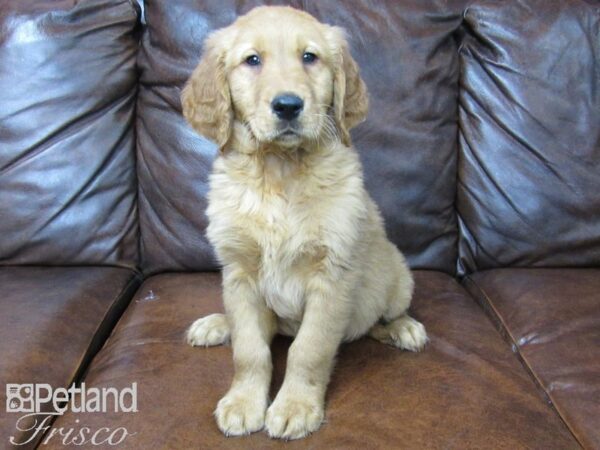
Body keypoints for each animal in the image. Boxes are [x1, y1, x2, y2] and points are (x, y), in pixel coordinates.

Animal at [183, 5, 426, 442]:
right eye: (252, 60)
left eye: (309, 57)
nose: (288, 105)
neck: (280, 171)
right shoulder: (239, 272)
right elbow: (250, 350)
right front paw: (244, 403)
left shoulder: (332, 276)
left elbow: (309, 350)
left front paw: (295, 406)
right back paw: (216, 324)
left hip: (398, 278)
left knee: (374, 321)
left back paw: (404, 329)